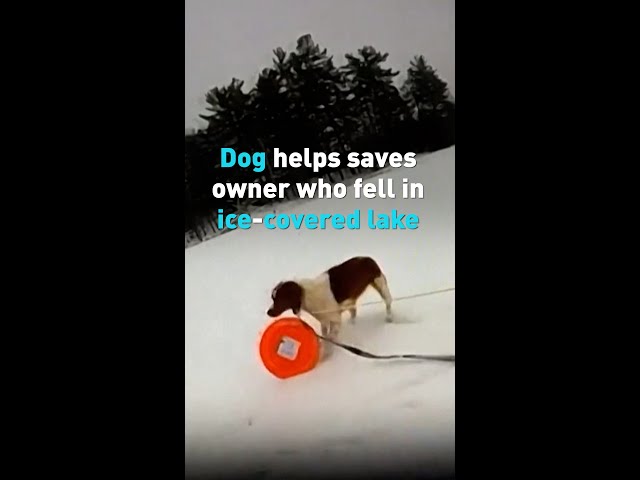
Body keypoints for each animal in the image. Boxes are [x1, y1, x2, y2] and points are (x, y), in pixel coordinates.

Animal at [266, 255, 396, 342]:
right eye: (273, 298)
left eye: (280, 298)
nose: (268, 312)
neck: (306, 294)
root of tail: (367, 258)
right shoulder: (325, 320)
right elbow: (326, 333)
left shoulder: (335, 319)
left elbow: (331, 337)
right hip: (350, 301)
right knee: (353, 311)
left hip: (381, 285)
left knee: (388, 302)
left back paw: (389, 318)